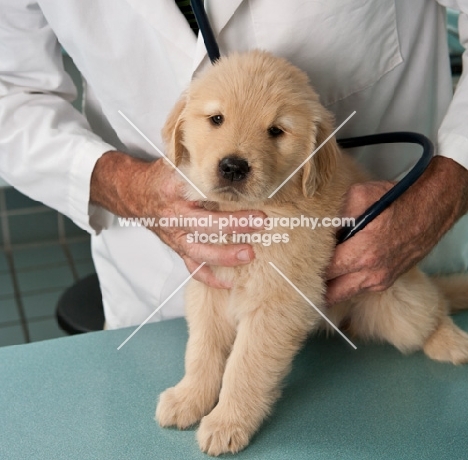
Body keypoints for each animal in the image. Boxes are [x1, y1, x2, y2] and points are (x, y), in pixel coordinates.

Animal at [155, 51, 468, 456]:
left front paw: (228, 421)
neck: (260, 207)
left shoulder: (279, 298)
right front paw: (189, 397)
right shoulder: (210, 282)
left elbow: (245, 365)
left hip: (395, 300)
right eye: (216, 119)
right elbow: (201, 349)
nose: (233, 167)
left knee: (431, 309)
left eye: (276, 131)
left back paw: (452, 342)